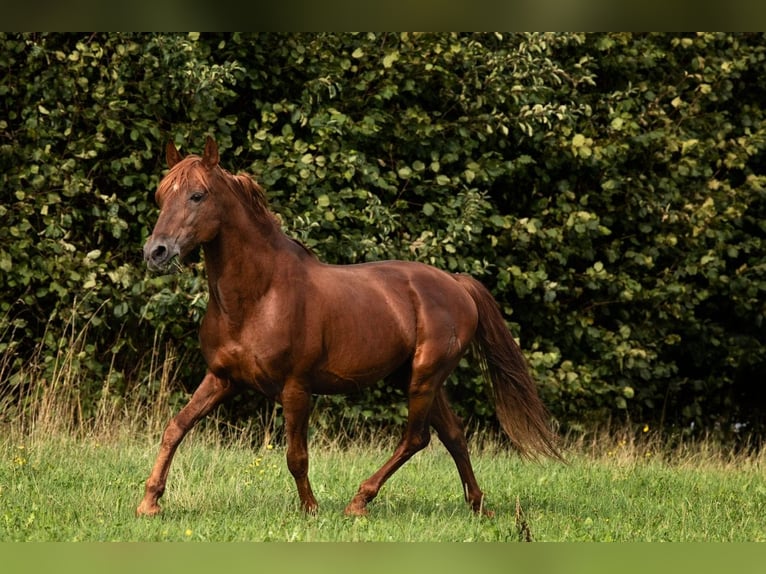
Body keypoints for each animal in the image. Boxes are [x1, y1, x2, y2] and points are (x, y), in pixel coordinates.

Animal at [136, 137, 560, 520]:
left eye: (197, 195)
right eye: (160, 195)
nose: (155, 252)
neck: (259, 296)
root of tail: (457, 284)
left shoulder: (295, 388)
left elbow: (296, 455)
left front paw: (311, 509)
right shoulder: (222, 378)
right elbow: (175, 427)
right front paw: (149, 503)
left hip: (424, 377)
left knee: (417, 437)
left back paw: (359, 502)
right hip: (415, 377)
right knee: (454, 434)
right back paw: (478, 506)